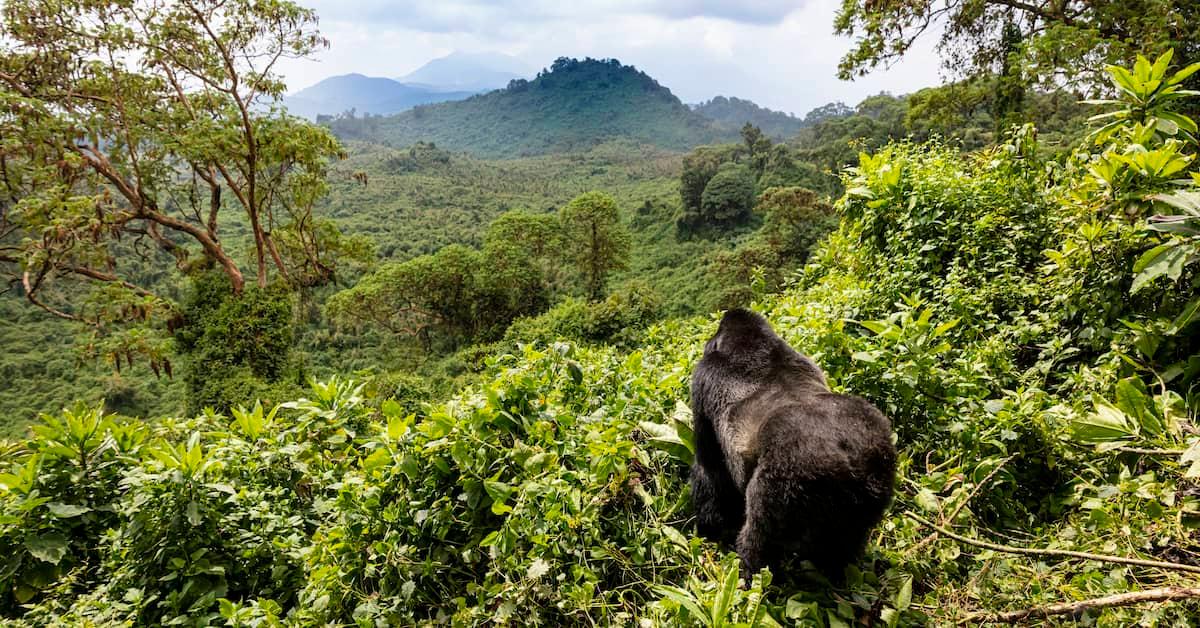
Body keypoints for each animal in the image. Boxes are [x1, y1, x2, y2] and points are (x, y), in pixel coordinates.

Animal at [691, 307, 897, 578]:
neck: (752, 344)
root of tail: (848, 456)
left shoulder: (702, 378)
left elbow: (710, 470)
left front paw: (711, 529)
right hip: (879, 468)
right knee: (845, 542)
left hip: (788, 477)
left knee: (760, 539)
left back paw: (750, 574)